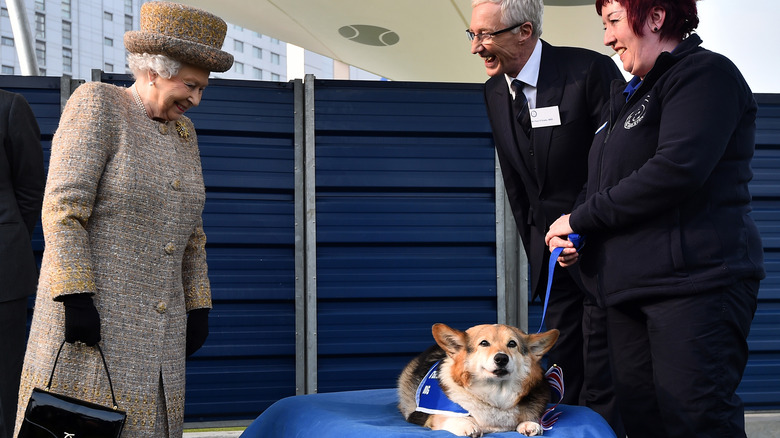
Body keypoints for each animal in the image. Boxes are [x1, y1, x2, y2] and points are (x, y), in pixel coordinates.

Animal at [400, 324, 556, 436]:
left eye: (512, 343)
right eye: (484, 343)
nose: (501, 358)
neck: (496, 394)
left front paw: (530, 424)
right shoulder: (426, 415)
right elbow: (446, 417)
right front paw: (467, 425)